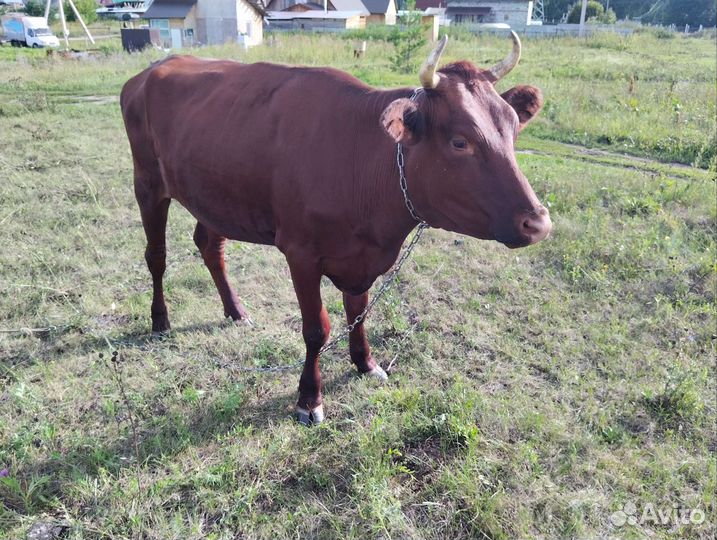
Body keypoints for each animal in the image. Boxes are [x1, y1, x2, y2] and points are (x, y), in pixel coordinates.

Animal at [120, 33, 551, 425]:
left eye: (514, 130)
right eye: (460, 141)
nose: (538, 222)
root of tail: (151, 69)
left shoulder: (361, 257)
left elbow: (357, 312)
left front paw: (365, 363)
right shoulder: (301, 253)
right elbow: (316, 329)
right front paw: (309, 399)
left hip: (212, 192)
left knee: (210, 245)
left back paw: (235, 310)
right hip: (147, 183)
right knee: (156, 255)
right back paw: (160, 320)